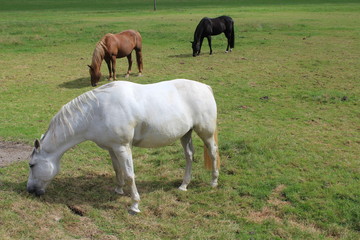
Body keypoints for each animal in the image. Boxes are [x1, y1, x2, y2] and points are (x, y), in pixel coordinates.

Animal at [26, 79, 219, 214]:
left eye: (32, 165)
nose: (30, 190)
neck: (96, 111)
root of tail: (206, 87)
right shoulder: (112, 148)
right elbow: (117, 169)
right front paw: (118, 190)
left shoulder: (123, 147)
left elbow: (129, 174)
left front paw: (134, 205)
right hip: (186, 134)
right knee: (189, 156)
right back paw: (184, 185)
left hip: (205, 133)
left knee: (213, 152)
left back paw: (213, 182)